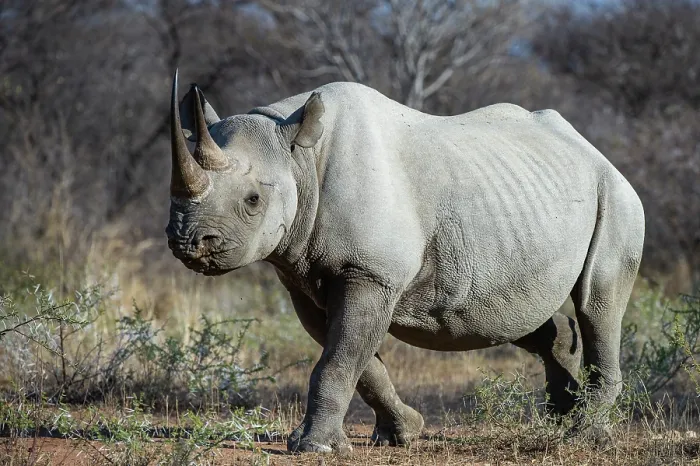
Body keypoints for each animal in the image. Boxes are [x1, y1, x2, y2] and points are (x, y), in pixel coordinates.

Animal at [165, 70, 645, 453]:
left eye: (252, 200)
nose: (187, 243)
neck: (298, 154)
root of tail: (593, 150)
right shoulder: (303, 277)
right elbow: (359, 362)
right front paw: (402, 433)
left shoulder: (370, 272)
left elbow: (340, 359)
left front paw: (314, 447)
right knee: (518, 314)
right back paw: (563, 414)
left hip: (616, 196)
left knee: (598, 303)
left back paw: (585, 434)